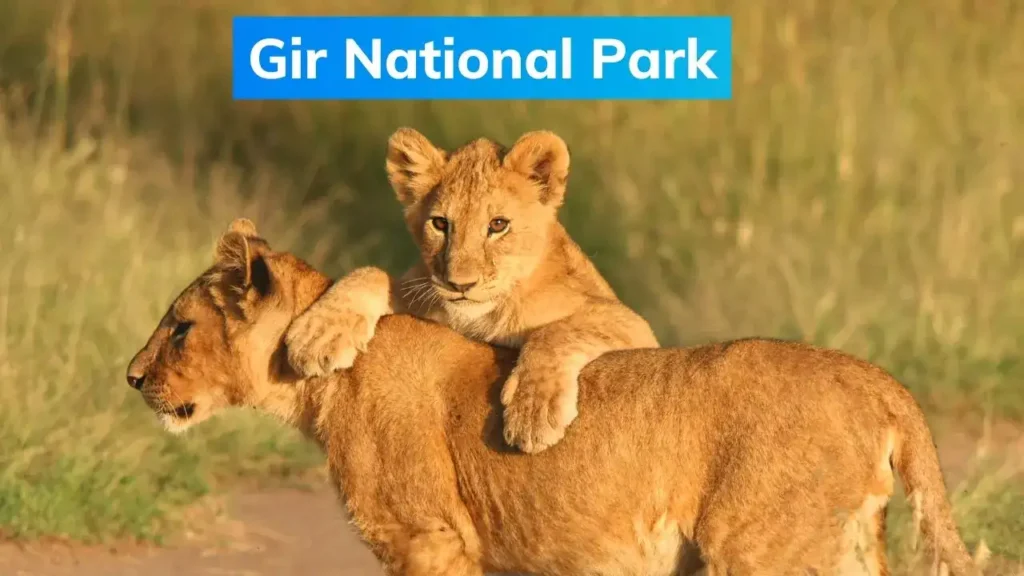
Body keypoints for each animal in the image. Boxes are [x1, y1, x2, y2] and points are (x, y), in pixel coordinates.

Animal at [125, 219, 981, 576]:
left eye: (180, 328)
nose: (131, 377)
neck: (317, 392)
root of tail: (874, 377)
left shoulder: (427, 539)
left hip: (758, 547)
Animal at [283, 127, 660, 454]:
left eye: (498, 225)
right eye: (440, 224)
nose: (460, 285)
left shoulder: (632, 324)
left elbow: (557, 331)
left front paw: (533, 413)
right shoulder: (423, 293)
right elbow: (372, 272)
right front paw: (317, 336)